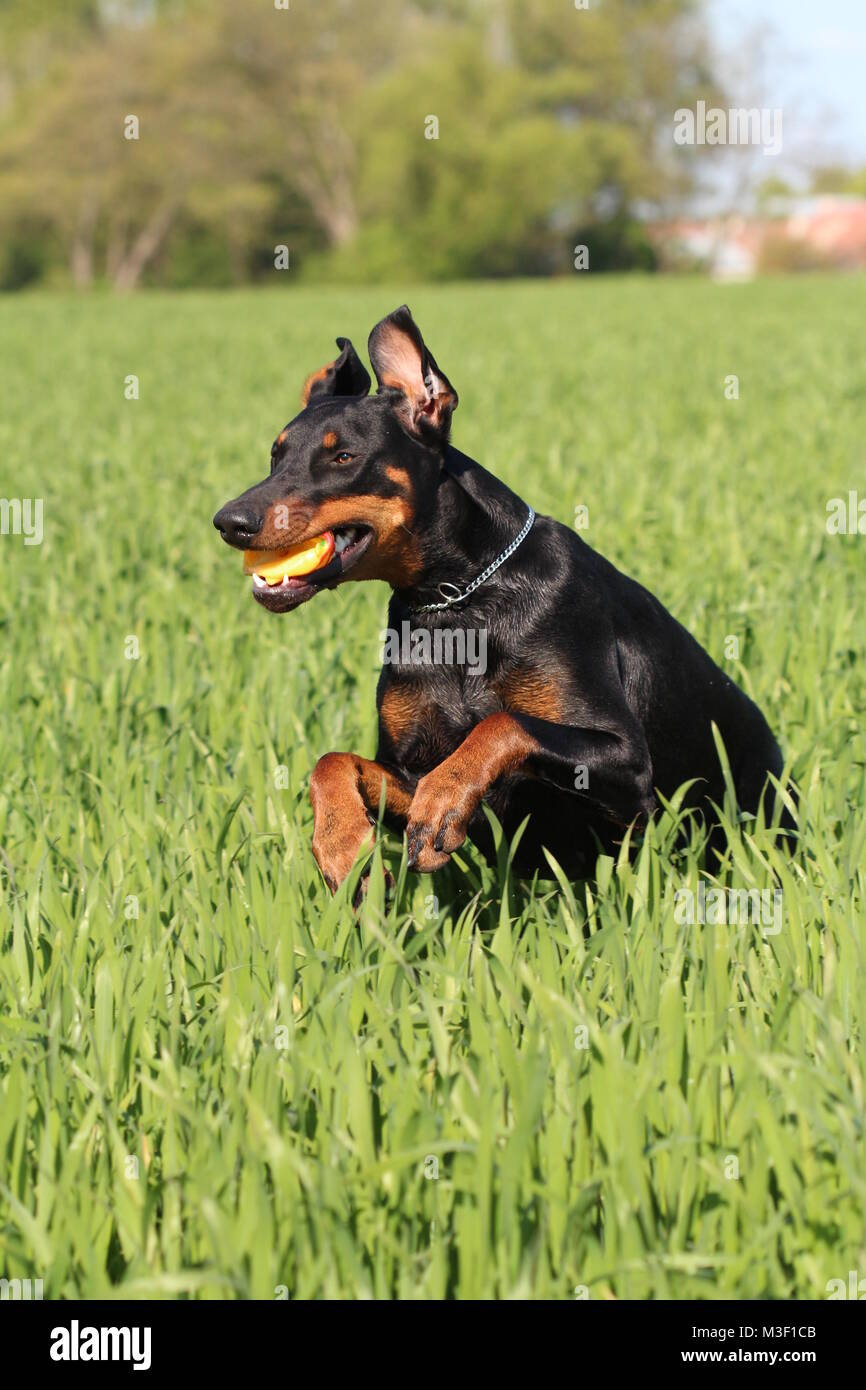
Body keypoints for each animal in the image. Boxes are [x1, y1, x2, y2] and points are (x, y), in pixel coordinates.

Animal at [214, 304, 789, 889]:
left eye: (344, 457)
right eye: (275, 456)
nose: (229, 522)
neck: (460, 601)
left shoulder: (627, 763)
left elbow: (501, 723)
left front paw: (442, 803)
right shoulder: (412, 767)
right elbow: (331, 761)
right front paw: (343, 847)